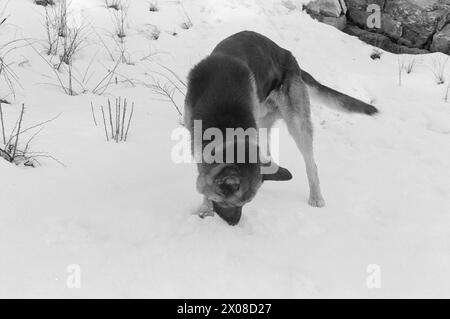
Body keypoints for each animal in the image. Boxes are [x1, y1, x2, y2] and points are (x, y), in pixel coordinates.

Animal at [185, 30, 378, 225]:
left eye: (245, 204)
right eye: (229, 203)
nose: (235, 224)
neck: (225, 109)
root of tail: (290, 58)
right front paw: (205, 208)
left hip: (297, 125)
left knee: (311, 165)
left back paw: (316, 196)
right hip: (263, 123)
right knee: (270, 154)